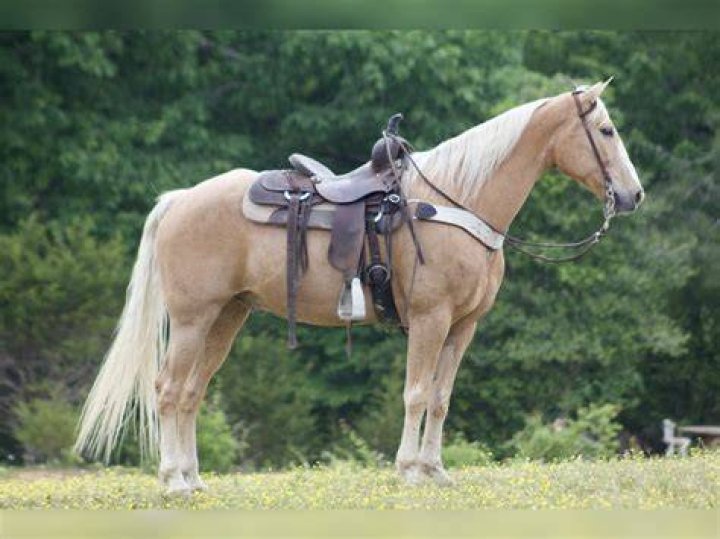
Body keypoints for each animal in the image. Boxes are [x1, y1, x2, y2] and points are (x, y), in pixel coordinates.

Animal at [75, 80, 644, 495]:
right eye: (606, 130)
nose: (633, 194)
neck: (457, 200)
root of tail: (178, 200)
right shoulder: (432, 319)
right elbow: (416, 393)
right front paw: (409, 469)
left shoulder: (463, 326)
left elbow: (441, 398)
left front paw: (436, 471)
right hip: (193, 319)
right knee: (169, 391)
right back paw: (173, 481)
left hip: (226, 318)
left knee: (192, 392)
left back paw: (193, 480)